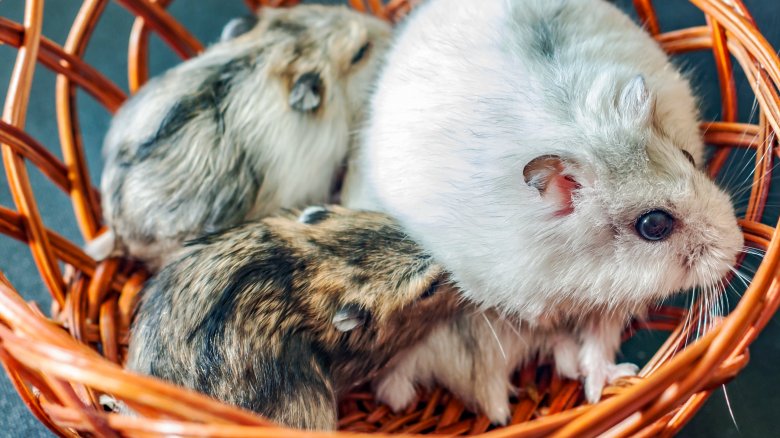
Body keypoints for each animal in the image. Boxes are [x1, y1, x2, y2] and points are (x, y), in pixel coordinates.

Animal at [344, 0, 744, 422]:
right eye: (654, 225)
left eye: (688, 156)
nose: (737, 248)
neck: (586, 266)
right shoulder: (528, 304)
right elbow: (557, 329)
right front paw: (593, 384)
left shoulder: (615, 299)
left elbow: (600, 336)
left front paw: (597, 386)